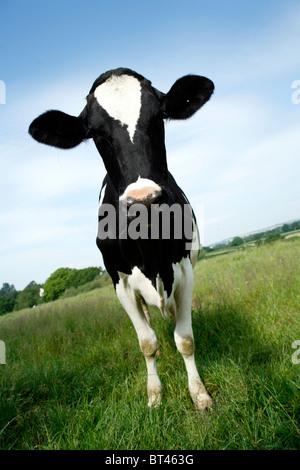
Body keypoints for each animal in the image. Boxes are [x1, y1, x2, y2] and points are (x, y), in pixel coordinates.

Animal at [29, 68, 214, 410]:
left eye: (158, 118)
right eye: (96, 134)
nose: (143, 199)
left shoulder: (184, 271)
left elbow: (185, 339)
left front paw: (199, 395)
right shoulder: (121, 282)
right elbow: (147, 342)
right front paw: (154, 394)